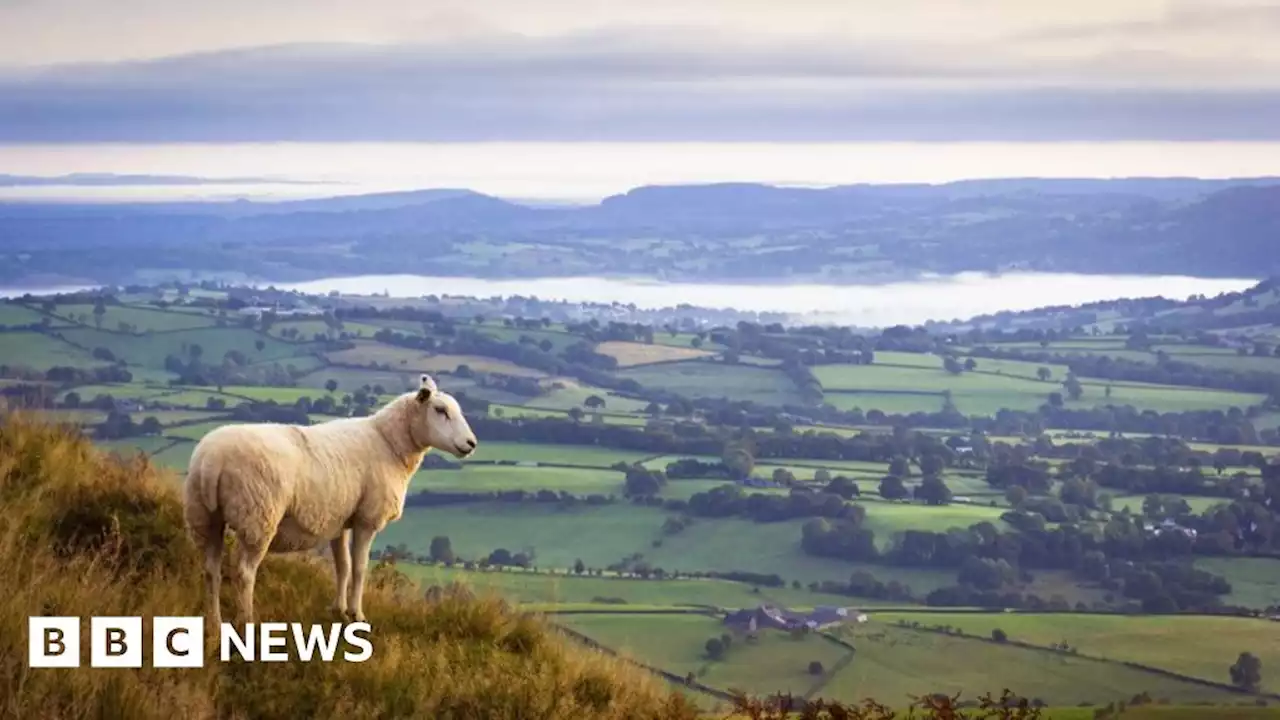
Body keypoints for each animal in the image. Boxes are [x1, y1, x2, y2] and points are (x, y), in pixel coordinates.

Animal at [183, 371, 478, 625]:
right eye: (440, 410)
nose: (471, 444)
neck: (389, 442)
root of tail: (212, 461)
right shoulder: (367, 519)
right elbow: (359, 567)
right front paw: (358, 614)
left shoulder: (340, 519)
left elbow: (342, 566)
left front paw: (339, 610)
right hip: (258, 516)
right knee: (244, 573)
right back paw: (247, 621)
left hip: (204, 517)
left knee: (210, 569)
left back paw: (214, 621)